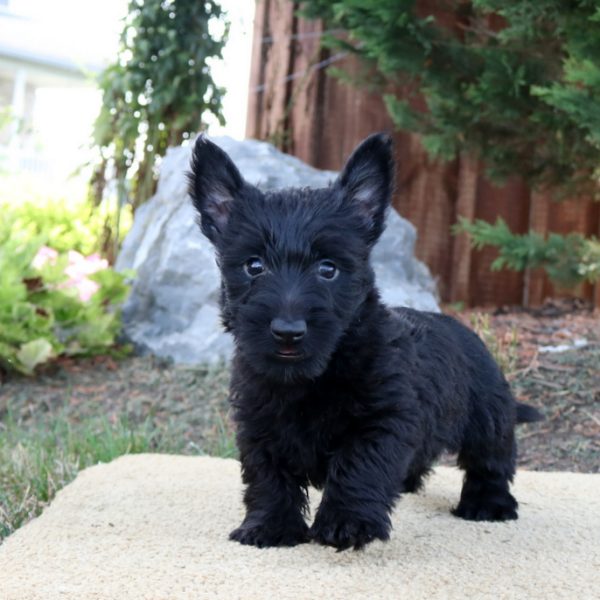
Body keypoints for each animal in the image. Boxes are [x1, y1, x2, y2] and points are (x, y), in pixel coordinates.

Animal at [189, 134, 544, 552]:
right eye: (253, 265)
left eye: (328, 268)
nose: (288, 331)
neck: (312, 378)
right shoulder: (259, 424)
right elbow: (267, 476)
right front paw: (270, 526)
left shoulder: (379, 421)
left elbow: (358, 468)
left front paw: (347, 523)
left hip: (488, 418)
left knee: (492, 461)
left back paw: (488, 503)